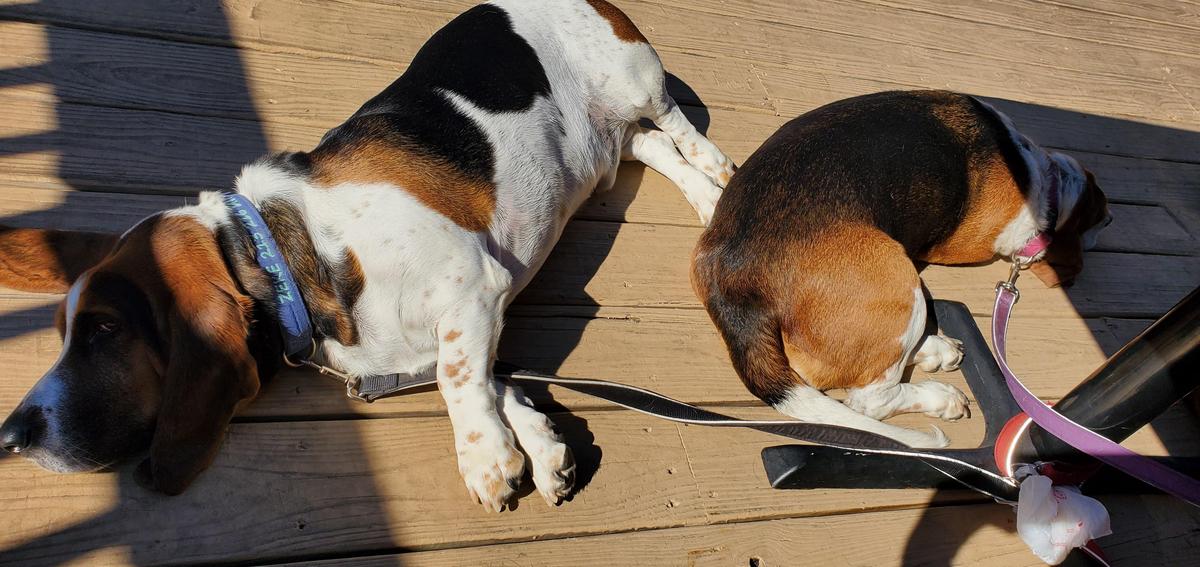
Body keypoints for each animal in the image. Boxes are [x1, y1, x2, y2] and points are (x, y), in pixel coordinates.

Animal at [0, 0, 734, 511]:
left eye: (104, 331)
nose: (9, 436)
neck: (284, 254)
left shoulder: (474, 286)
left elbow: (458, 377)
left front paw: (485, 460)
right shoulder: (424, 340)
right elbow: (487, 376)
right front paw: (536, 442)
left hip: (631, 78)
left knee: (674, 122)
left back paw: (721, 175)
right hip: (602, 145)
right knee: (650, 147)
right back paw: (704, 200)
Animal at [691, 90, 1108, 449]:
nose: (1111, 218)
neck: (1036, 173)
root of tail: (733, 285)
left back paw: (937, 349)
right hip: (899, 280)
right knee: (868, 400)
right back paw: (940, 397)